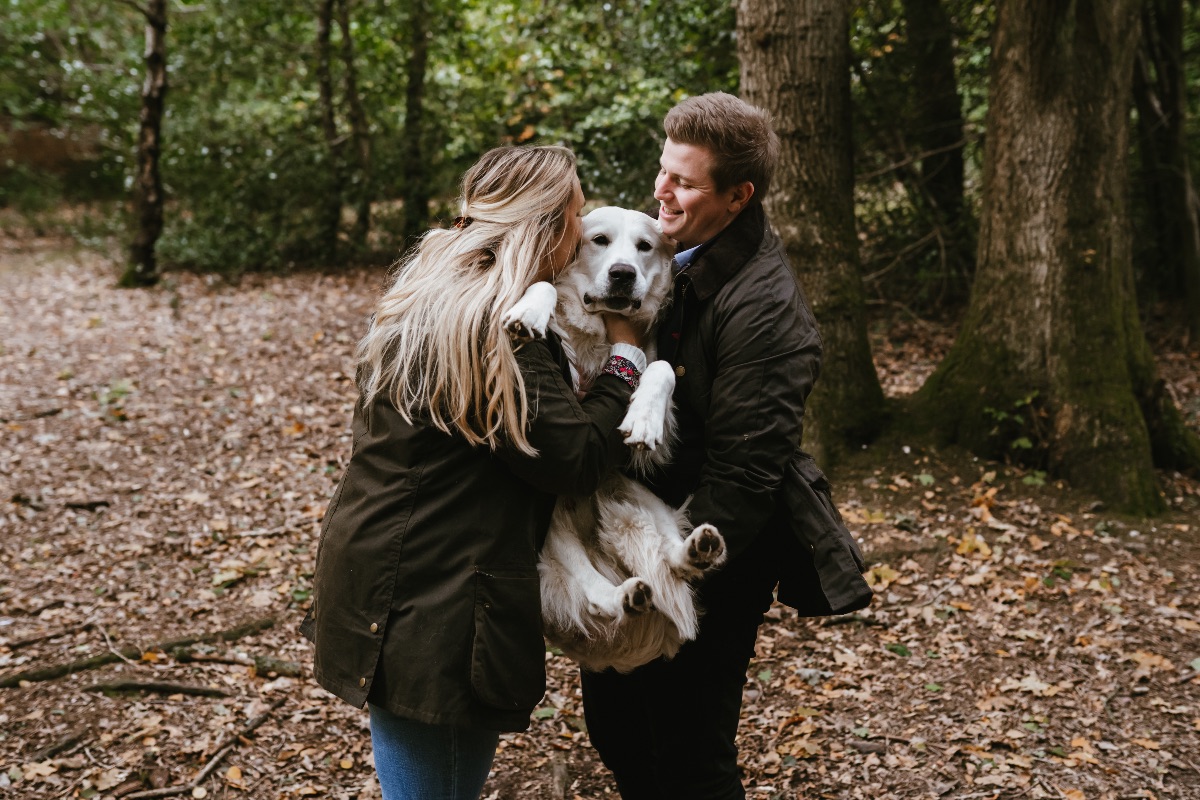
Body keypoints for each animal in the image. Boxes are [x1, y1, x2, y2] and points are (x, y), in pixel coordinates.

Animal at [501, 208, 724, 676]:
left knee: (668, 556)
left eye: (644, 247)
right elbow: (547, 285)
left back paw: (697, 551)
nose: (623, 274)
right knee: (592, 593)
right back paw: (623, 596)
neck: (600, 334)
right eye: (599, 240)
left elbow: (660, 367)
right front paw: (530, 310)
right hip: (552, 528)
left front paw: (643, 417)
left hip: (633, 496)